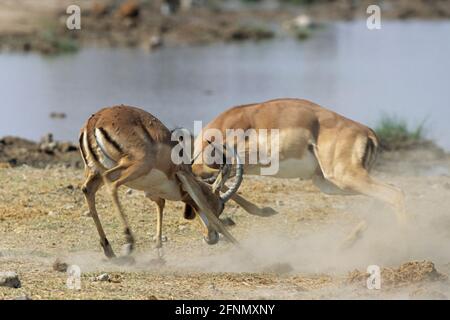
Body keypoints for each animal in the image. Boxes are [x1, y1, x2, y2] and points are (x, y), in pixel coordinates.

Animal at [80, 105, 243, 260]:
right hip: (134, 166)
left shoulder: (152, 191)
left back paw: (109, 250)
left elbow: (161, 204)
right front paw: (242, 250)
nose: (211, 238)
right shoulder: (184, 177)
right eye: (220, 207)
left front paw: (159, 251)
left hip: (96, 172)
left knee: (87, 189)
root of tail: (95, 120)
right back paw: (129, 241)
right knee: (111, 183)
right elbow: (205, 208)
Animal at [192, 97, 410, 235]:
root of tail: (368, 131)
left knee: (394, 194)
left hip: (344, 177)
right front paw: (264, 211)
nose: (209, 237)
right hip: (331, 184)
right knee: (389, 194)